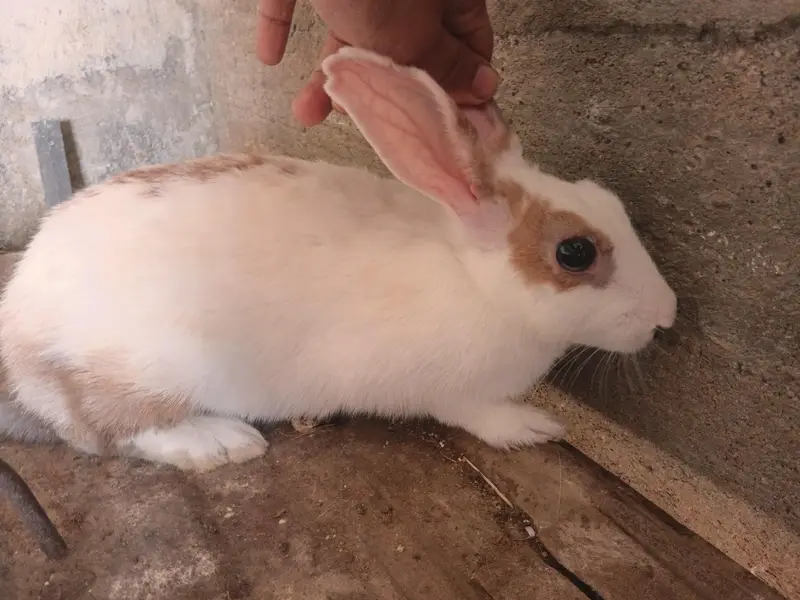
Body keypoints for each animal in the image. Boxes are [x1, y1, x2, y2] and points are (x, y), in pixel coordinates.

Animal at [0, 47, 676, 472]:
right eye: (575, 252)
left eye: (609, 200)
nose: (666, 315)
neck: (479, 283)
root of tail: (19, 329)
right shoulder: (453, 392)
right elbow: (482, 417)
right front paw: (535, 428)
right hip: (141, 373)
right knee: (111, 432)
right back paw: (222, 442)